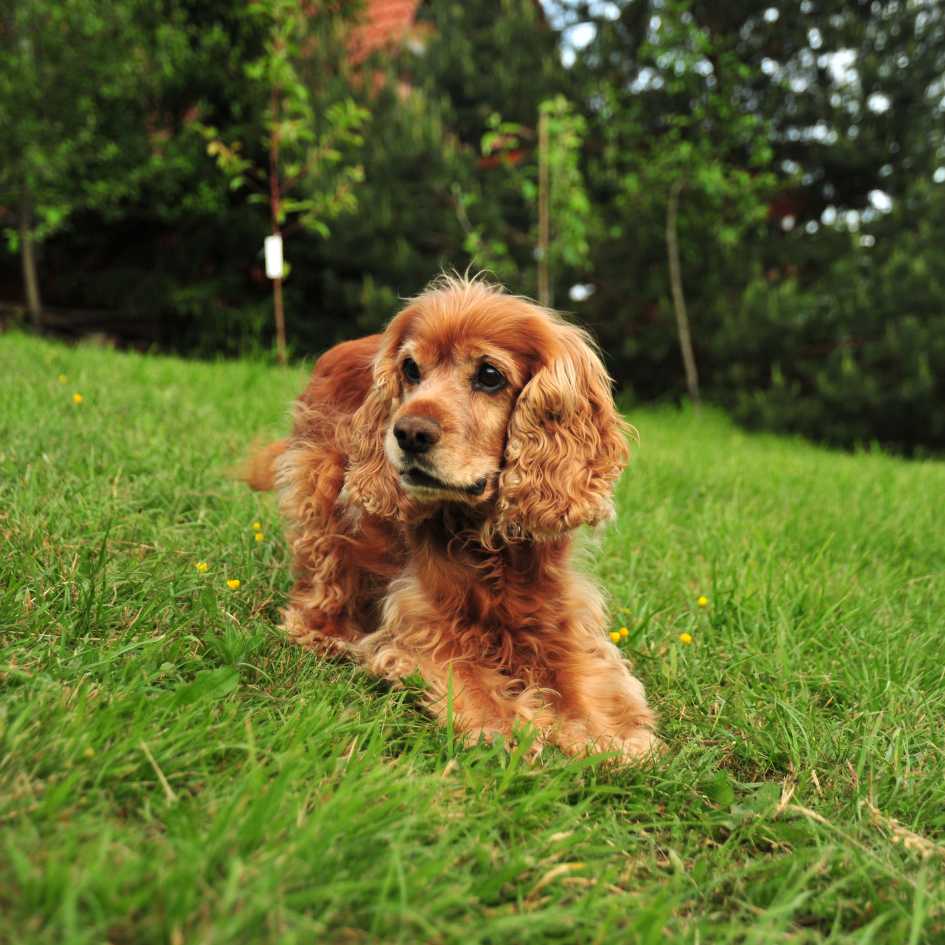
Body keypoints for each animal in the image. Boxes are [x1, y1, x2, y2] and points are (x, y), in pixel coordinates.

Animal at [247, 274, 652, 760]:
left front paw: (606, 731)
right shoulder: (421, 618)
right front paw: (503, 723)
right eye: (410, 369)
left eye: (490, 375)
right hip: (320, 488)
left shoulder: (558, 611)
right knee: (323, 573)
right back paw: (325, 632)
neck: (484, 537)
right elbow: (465, 669)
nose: (408, 432)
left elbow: (579, 673)